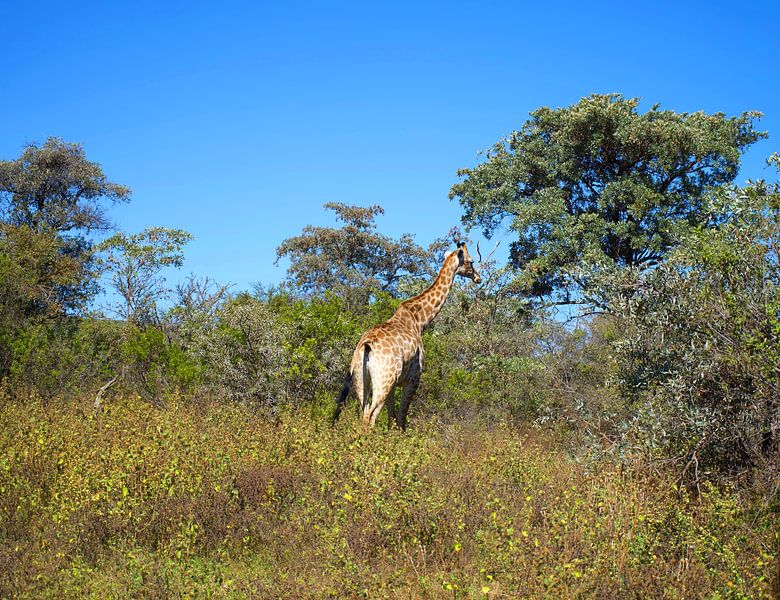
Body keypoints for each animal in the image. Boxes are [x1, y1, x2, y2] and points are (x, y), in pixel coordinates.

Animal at [332, 241, 481, 430]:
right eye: (471, 261)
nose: (478, 278)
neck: (419, 321)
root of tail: (366, 346)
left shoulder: (395, 384)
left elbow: (392, 419)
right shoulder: (413, 379)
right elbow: (402, 419)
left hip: (360, 380)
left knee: (364, 414)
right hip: (384, 380)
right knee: (371, 416)